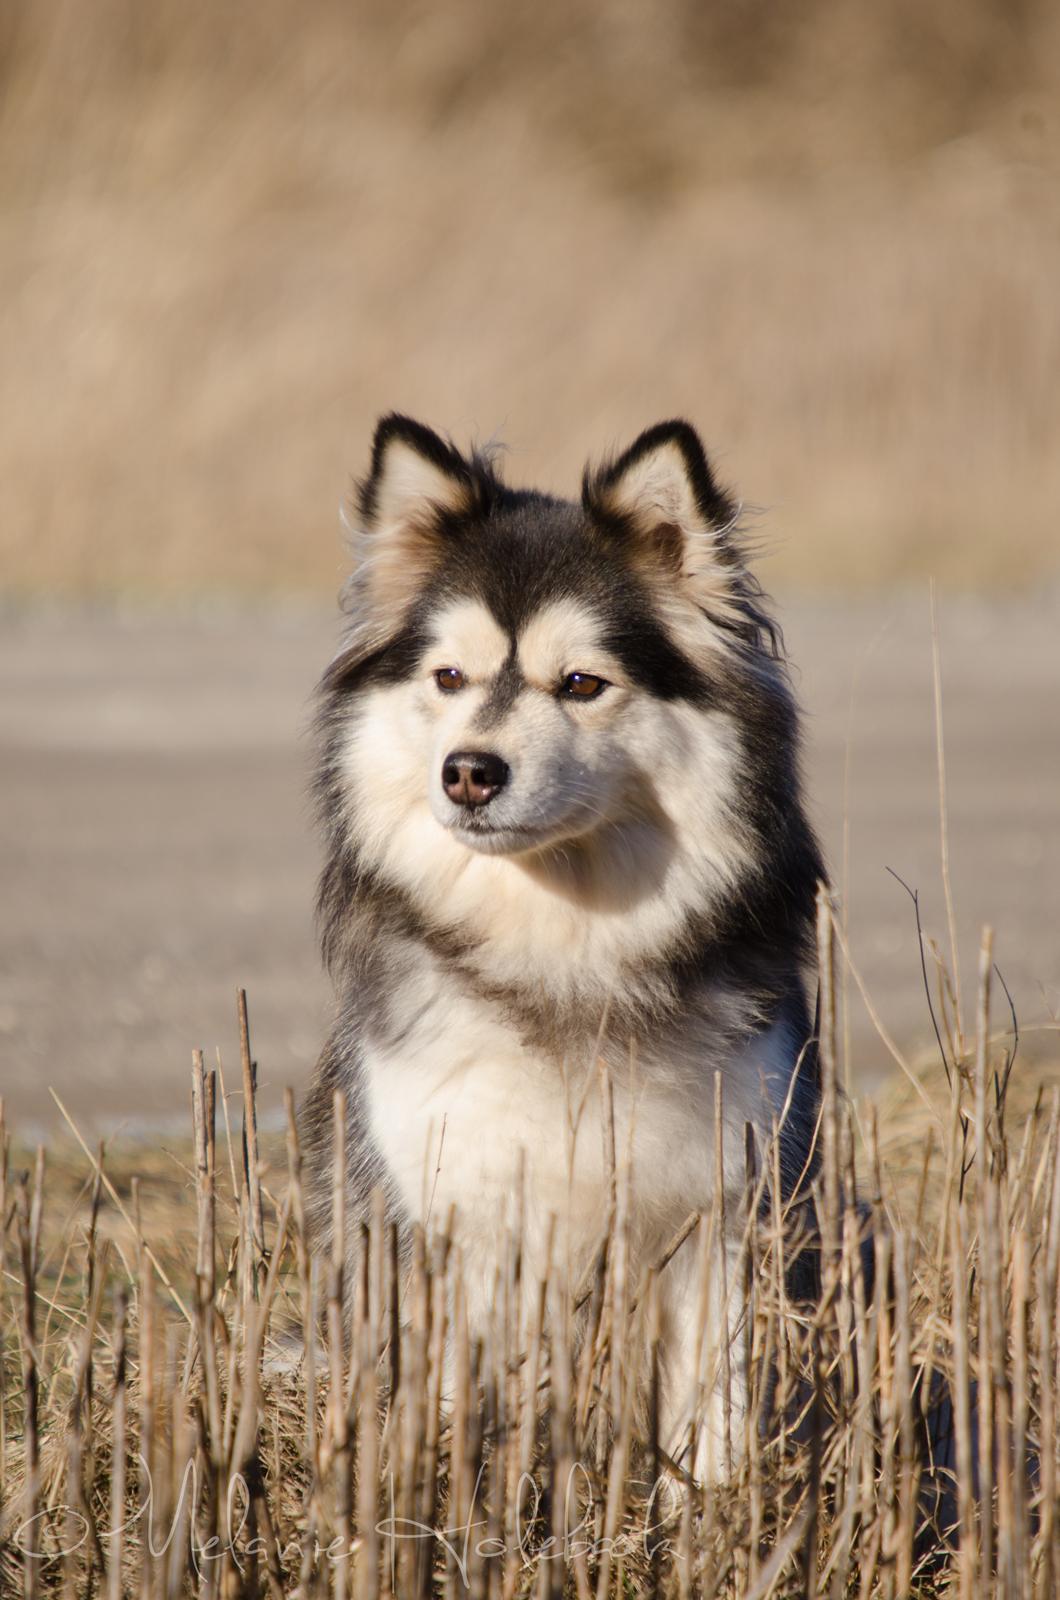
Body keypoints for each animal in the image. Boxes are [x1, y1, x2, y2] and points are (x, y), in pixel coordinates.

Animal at [302, 412, 826, 1472]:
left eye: (582, 682)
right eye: (448, 677)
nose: (469, 772)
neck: (561, 954)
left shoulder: (723, 1211)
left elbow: (713, 1426)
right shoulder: (443, 1223)